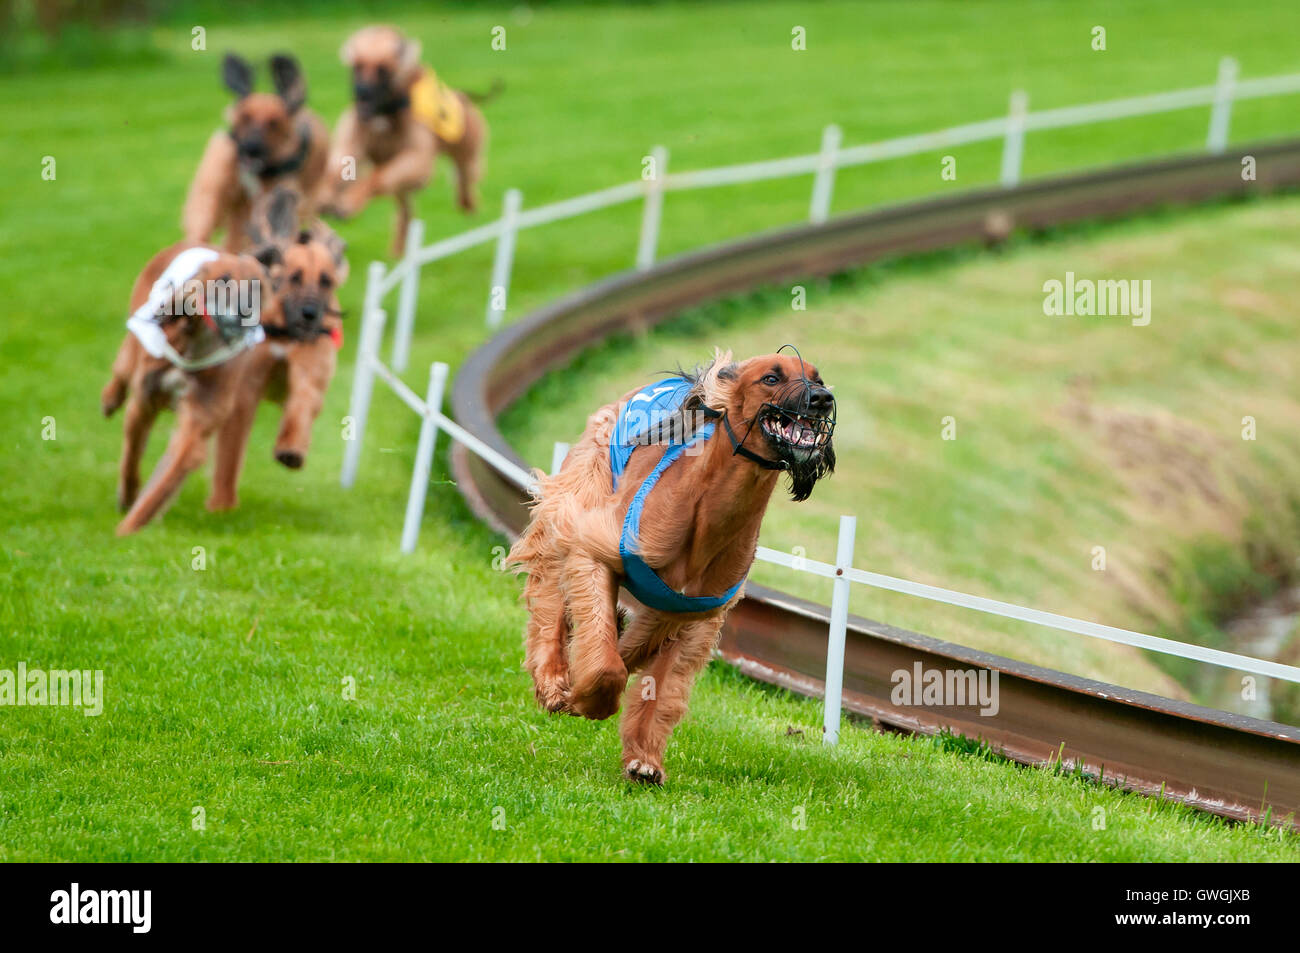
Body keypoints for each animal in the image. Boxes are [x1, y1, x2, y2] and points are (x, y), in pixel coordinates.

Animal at [101, 241, 274, 530]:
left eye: (258, 285)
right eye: (223, 279)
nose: (245, 311)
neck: (197, 347)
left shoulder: (198, 422)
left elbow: (165, 480)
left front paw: (132, 524)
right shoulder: (144, 403)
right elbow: (133, 454)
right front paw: (128, 498)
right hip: (135, 340)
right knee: (123, 368)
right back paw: (110, 398)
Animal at [185, 52, 332, 249]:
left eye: (274, 123)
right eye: (245, 117)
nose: (251, 148)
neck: (256, 172)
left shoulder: (274, 197)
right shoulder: (215, 180)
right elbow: (204, 213)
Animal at [318, 25, 496, 254]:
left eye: (383, 69)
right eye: (357, 66)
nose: (361, 93)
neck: (385, 112)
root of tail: (463, 96)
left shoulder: (418, 161)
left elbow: (378, 176)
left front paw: (350, 201)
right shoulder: (350, 146)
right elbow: (336, 170)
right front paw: (325, 195)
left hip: (467, 154)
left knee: (465, 179)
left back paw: (468, 204)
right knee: (406, 210)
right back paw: (399, 245)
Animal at [501, 348, 837, 780]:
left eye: (818, 378)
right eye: (771, 378)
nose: (822, 399)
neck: (706, 513)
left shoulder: (694, 613)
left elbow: (657, 680)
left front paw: (643, 759)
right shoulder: (595, 547)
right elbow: (608, 665)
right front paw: (583, 697)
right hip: (581, 491)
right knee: (551, 589)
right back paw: (553, 678)